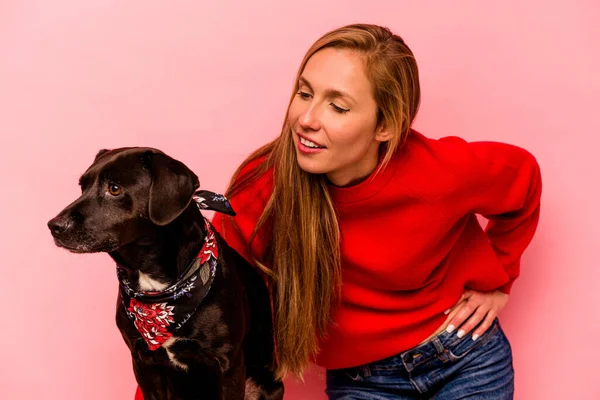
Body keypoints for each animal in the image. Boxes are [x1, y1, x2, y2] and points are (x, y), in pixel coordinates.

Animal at [47, 148, 284, 400]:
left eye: (114, 188)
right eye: (82, 187)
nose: (54, 226)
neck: (158, 288)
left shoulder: (229, 363)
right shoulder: (143, 363)